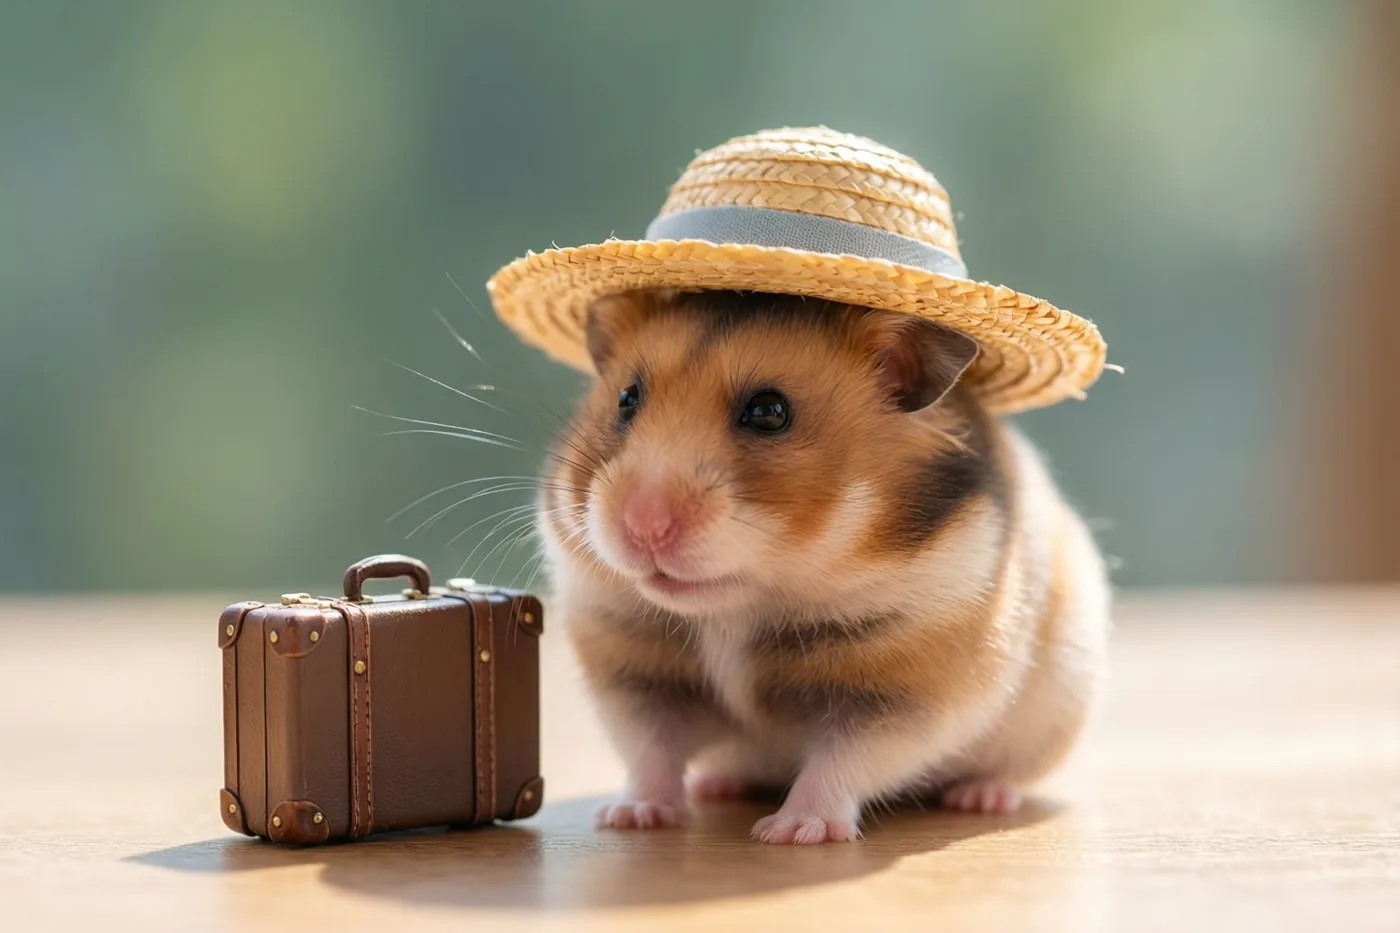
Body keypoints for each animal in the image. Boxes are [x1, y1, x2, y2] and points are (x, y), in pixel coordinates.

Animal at [537, 287, 1111, 845]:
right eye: (626, 398)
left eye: (769, 412)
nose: (643, 526)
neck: (737, 609)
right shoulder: (631, 670)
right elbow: (649, 748)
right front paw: (630, 817)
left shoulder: (907, 692)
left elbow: (842, 762)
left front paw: (789, 833)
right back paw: (715, 786)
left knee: (999, 775)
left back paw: (980, 797)